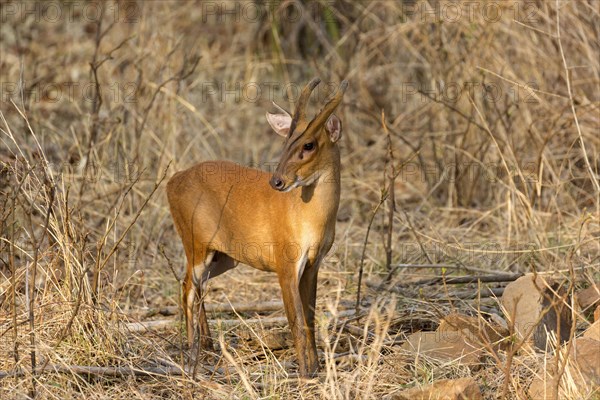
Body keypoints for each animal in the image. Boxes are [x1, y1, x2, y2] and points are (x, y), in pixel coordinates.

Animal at [166, 79, 350, 378]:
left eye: (309, 144)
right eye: (285, 142)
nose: (277, 181)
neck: (308, 217)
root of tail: (173, 181)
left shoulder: (313, 264)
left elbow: (309, 319)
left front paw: (316, 369)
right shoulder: (285, 263)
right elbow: (296, 321)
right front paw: (305, 374)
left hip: (223, 257)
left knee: (198, 286)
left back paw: (207, 346)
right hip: (195, 244)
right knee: (187, 287)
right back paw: (192, 355)